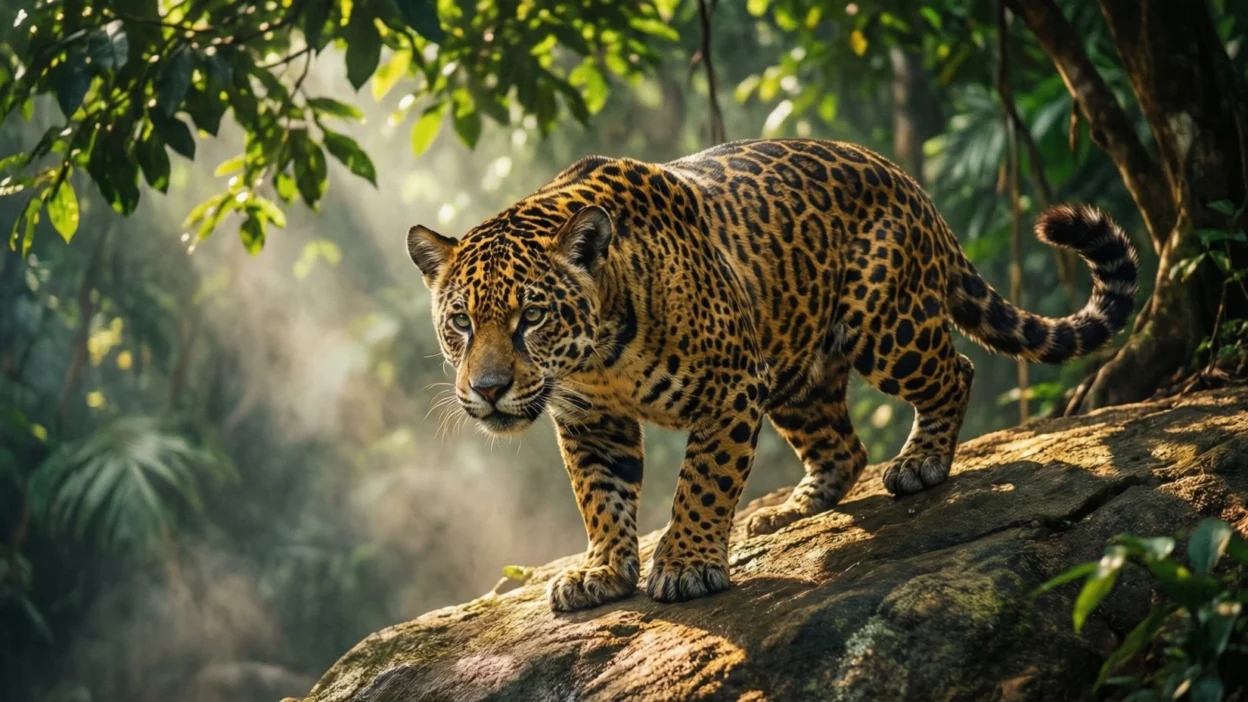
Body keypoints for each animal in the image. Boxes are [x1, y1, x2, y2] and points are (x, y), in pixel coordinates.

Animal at [406, 138, 1138, 612]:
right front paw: (603, 572)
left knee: (954, 369)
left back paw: (920, 463)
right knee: (844, 446)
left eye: (531, 317)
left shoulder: (730, 387)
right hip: (795, 370)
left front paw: (685, 565)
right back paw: (792, 509)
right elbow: (600, 498)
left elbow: (701, 483)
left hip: (883, 327)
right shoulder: (590, 420)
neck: (599, 355)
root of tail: (908, 182)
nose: (488, 391)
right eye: (461, 322)